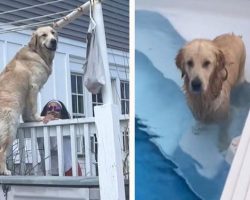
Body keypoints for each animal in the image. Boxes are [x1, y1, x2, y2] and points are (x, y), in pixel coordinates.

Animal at [0, 25, 57, 174]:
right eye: (44, 35)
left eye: (53, 33)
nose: (54, 41)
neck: (38, 53)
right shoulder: (33, 86)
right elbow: (33, 107)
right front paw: (38, 119)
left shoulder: (27, 93)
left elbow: (27, 111)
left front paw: (29, 120)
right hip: (10, 126)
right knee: (2, 150)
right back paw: (5, 171)